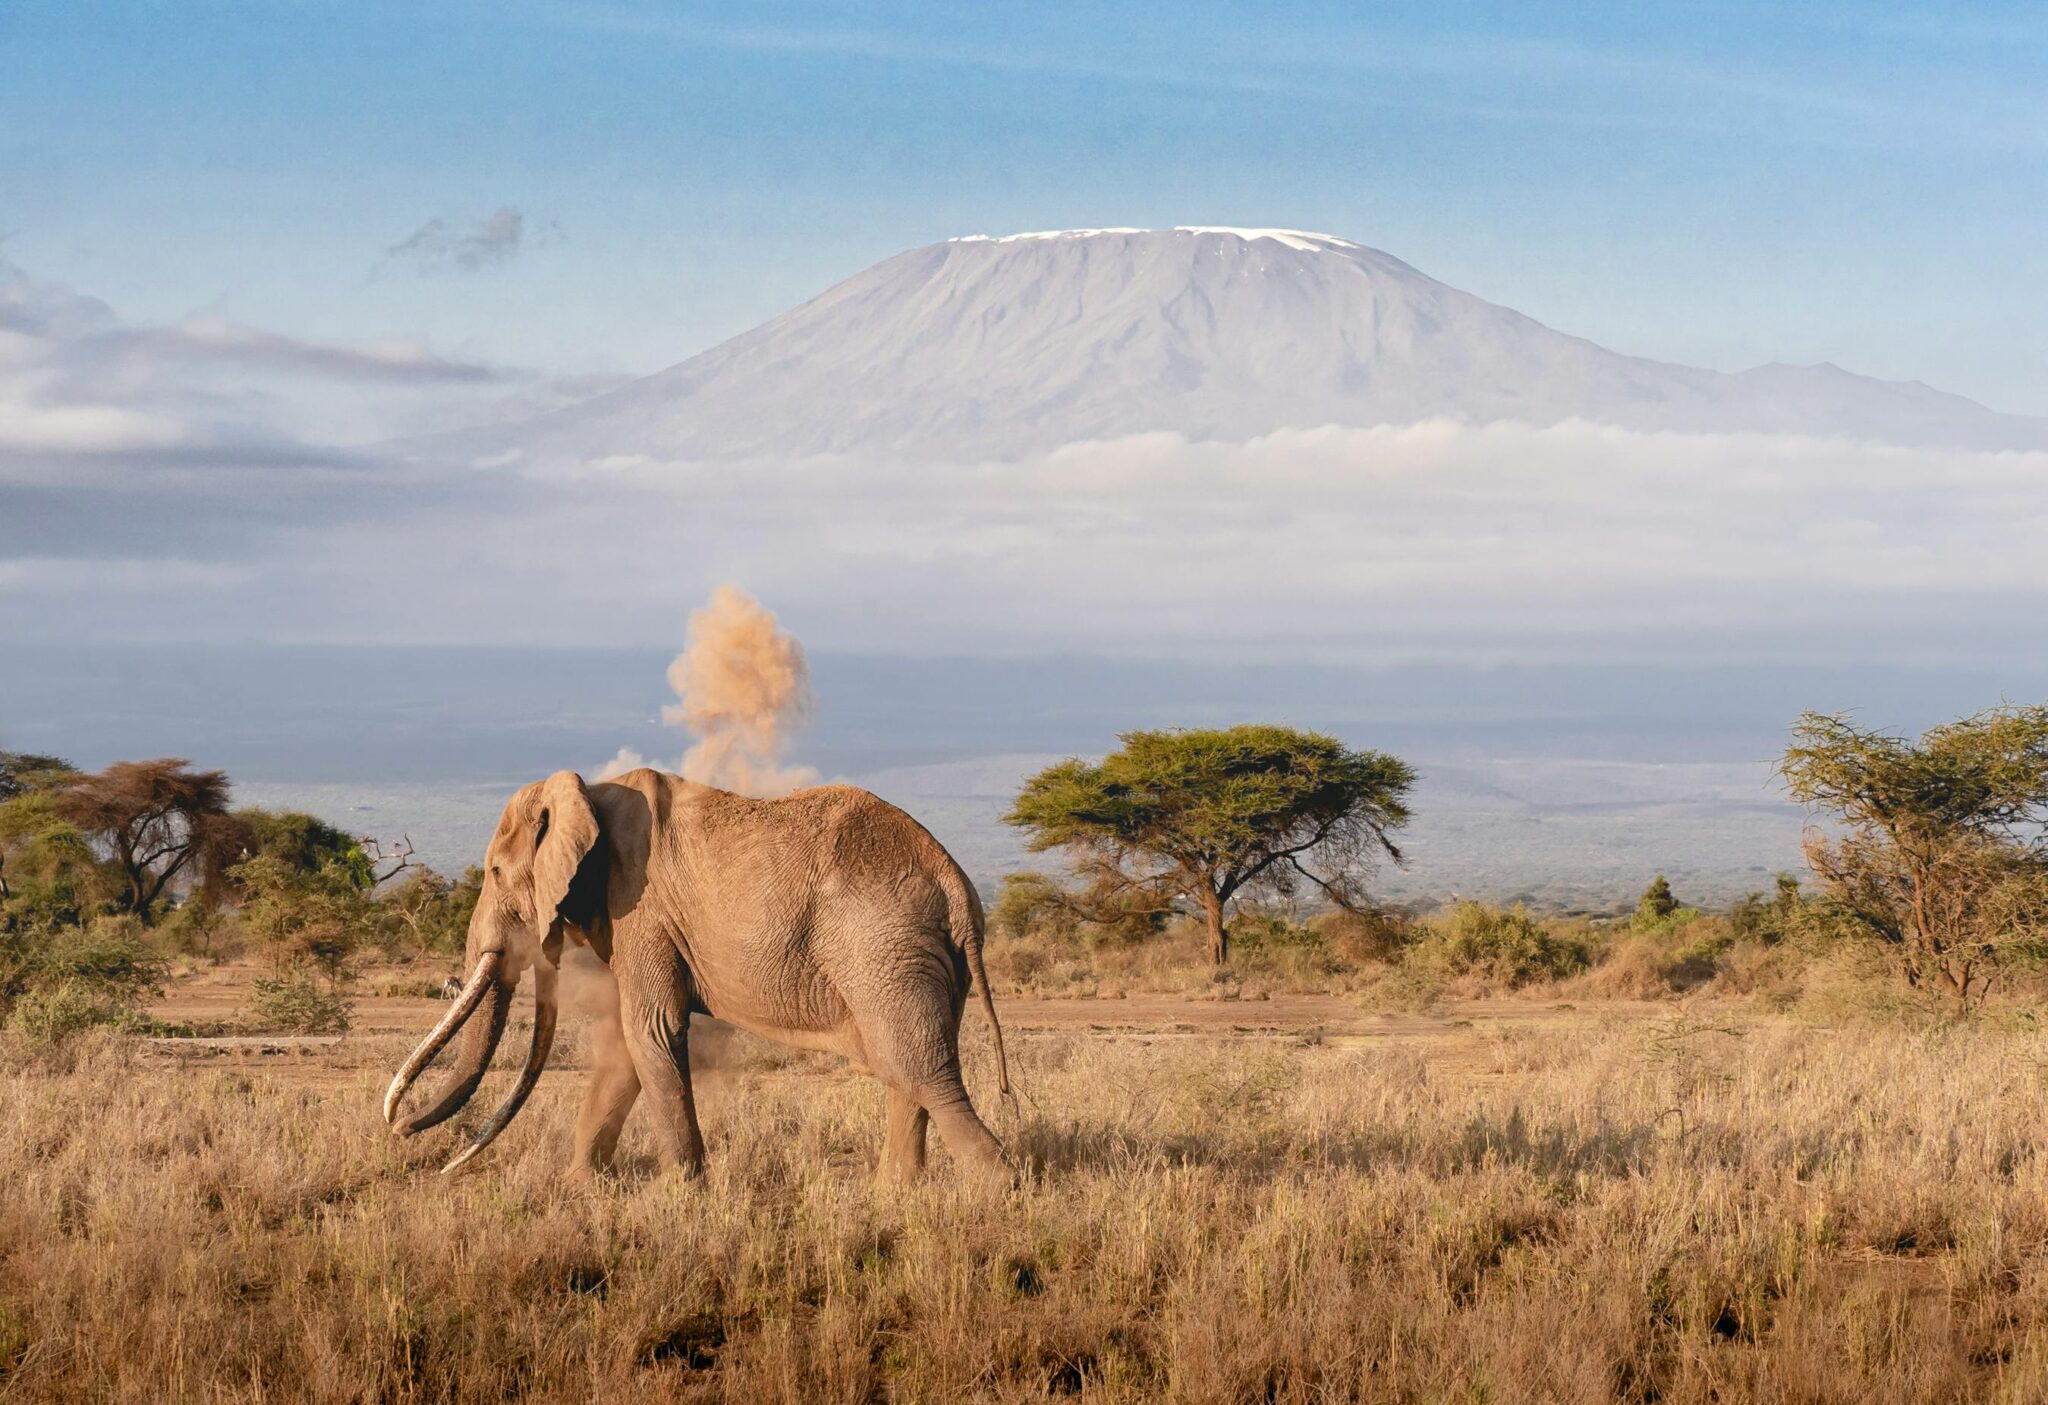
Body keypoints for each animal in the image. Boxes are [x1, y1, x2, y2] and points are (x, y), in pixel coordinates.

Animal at [380, 774, 1011, 1179]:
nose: (402, 1130)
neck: (588, 792)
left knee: (922, 1071)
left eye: (492, 871)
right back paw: (895, 1198)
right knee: (906, 1068)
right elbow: (626, 1044)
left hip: (884, 948)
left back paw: (997, 1190)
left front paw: (681, 1194)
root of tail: (956, 884)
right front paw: (582, 1187)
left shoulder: (642, 910)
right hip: (917, 958)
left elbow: (651, 1030)